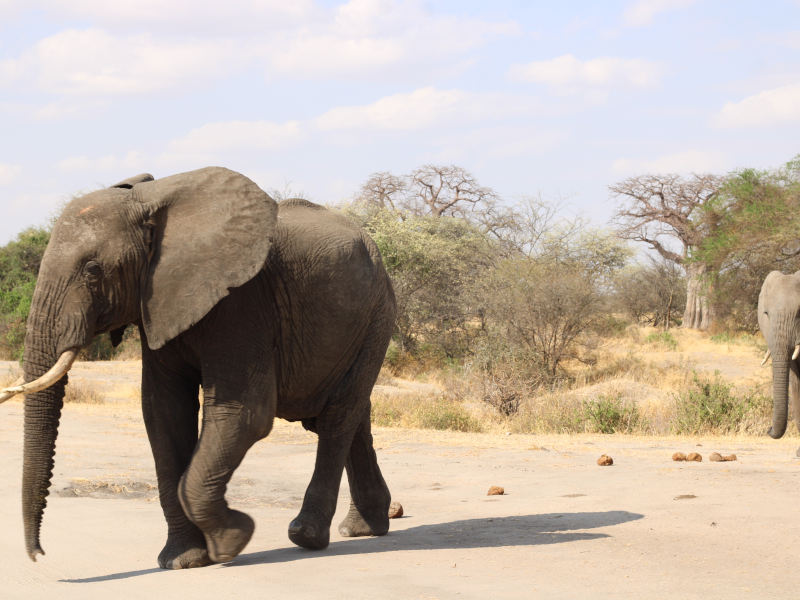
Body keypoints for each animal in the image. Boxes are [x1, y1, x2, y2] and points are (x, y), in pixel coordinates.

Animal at [0, 166, 398, 568]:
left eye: (93, 270)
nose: (38, 555)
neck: (150, 202)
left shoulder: (243, 300)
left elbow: (244, 413)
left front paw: (234, 538)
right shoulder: (158, 302)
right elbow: (164, 413)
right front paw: (183, 560)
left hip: (377, 314)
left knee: (336, 418)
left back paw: (307, 535)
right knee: (350, 415)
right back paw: (362, 528)